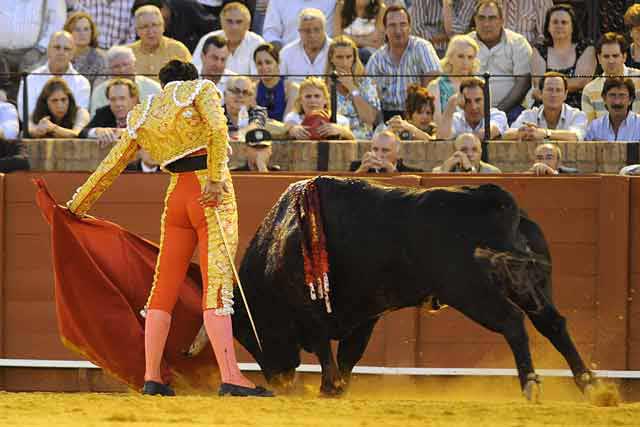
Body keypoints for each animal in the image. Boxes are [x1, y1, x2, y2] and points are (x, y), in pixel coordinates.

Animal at [229, 176, 596, 398]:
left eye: (248, 334)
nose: (278, 382)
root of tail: (498, 200)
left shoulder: (312, 309)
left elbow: (326, 349)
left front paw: (328, 387)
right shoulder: (366, 313)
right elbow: (349, 353)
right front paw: (338, 389)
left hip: (469, 290)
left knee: (512, 322)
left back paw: (532, 385)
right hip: (527, 283)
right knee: (552, 323)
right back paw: (590, 384)